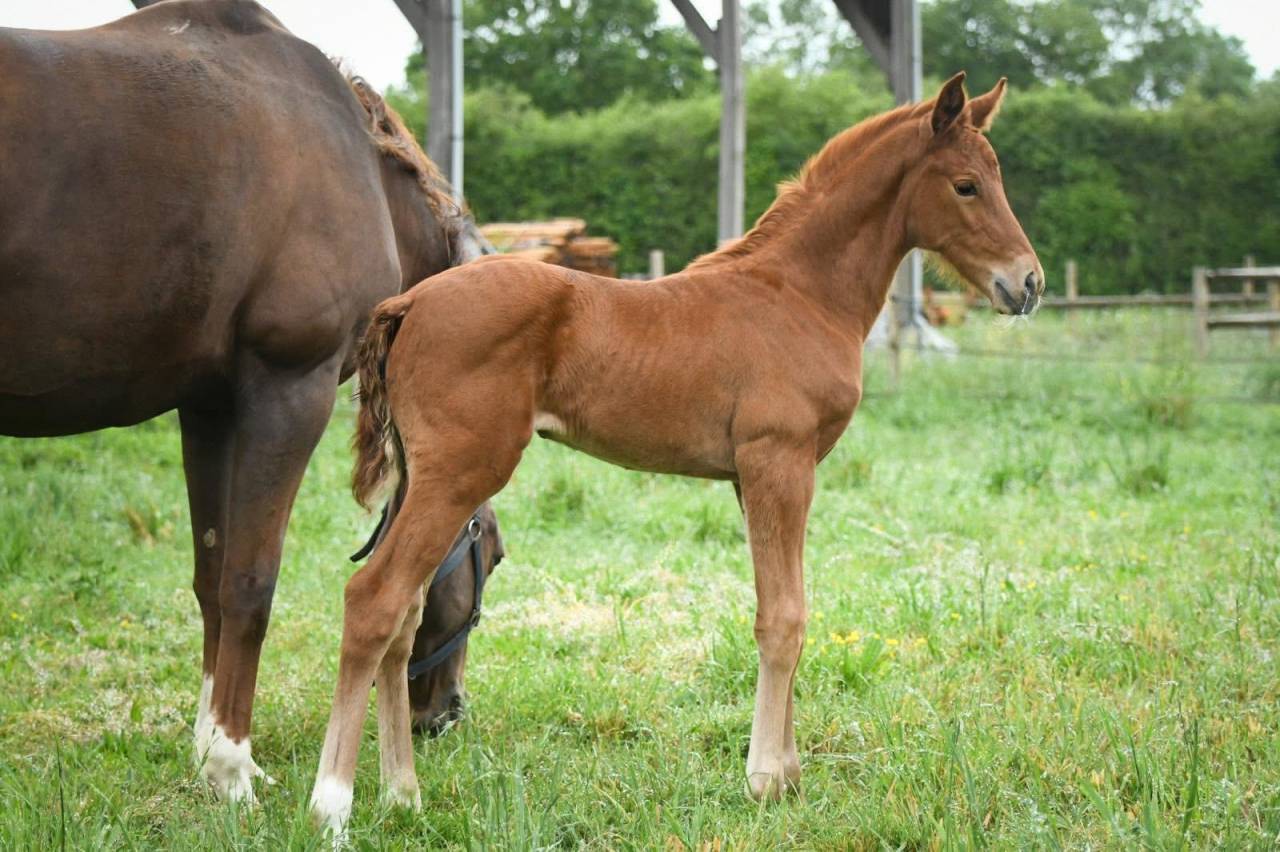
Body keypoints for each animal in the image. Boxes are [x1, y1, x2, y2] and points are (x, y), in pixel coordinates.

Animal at [0, 0, 494, 802]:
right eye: (494, 557)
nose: (447, 712)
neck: (355, 162)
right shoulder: (288, 388)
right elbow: (250, 582)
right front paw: (232, 769)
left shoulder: (208, 407)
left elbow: (211, 576)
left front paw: (210, 747)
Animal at [306, 70, 1041, 831]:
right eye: (965, 186)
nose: (1027, 283)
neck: (798, 296)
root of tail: (409, 304)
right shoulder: (779, 463)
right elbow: (783, 617)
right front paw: (765, 779)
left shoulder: (756, 478)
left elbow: (786, 604)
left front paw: (789, 772)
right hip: (459, 473)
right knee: (373, 600)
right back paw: (332, 803)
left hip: (421, 479)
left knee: (404, 617)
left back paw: (403, 792)